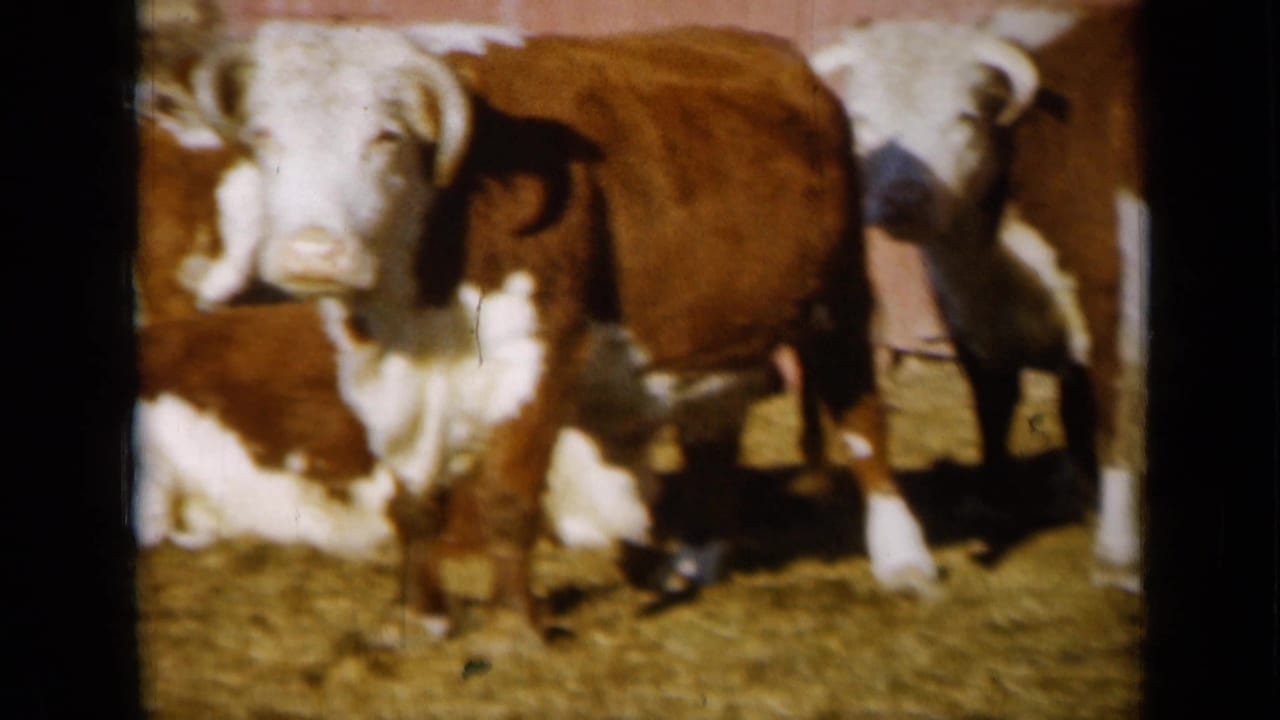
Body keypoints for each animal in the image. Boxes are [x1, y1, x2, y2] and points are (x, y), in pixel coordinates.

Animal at [186, 21, 911, 637]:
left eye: (386, 137)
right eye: (263, 137)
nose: (313, 253)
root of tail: (786, 60)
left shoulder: (536, 356)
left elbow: (508, 495)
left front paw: (513, 627)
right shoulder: (386, 380)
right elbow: (414, 503)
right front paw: (417, 618)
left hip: (841, 300)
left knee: (863, 425)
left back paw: (902, 559)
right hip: (714, 340)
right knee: (713, 443)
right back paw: (695, 564)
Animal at [811, 6, 1144, 592]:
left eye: (964, 116)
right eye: (861, 119)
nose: (903, 200)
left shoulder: (1116, 307)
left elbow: (1113, 421)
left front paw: (1116, 554)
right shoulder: (974, 322)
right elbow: (996, 408)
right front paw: (995, 507)